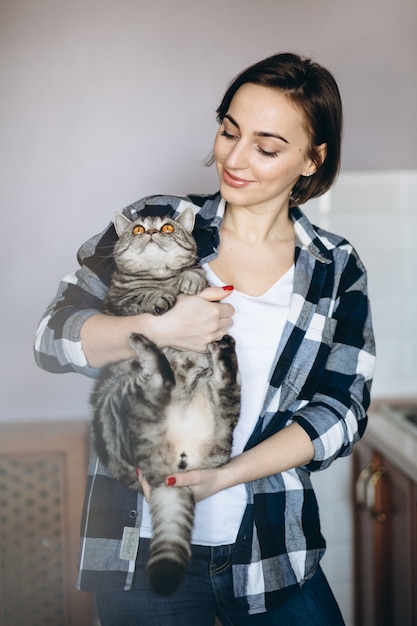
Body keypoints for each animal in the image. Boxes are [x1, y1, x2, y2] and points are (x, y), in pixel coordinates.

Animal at [92, 206, 240, 596]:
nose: (151, 233)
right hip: (119, 396)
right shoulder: (116, 305)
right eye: (137, 229)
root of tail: (173, 471)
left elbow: (195, 272)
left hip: (220, 421)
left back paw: (222, 350)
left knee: (226, 391)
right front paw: (158, 299)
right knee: (158, 378)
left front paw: (188, 280)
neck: (160, 278)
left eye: (169, 228)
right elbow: (139, 298)